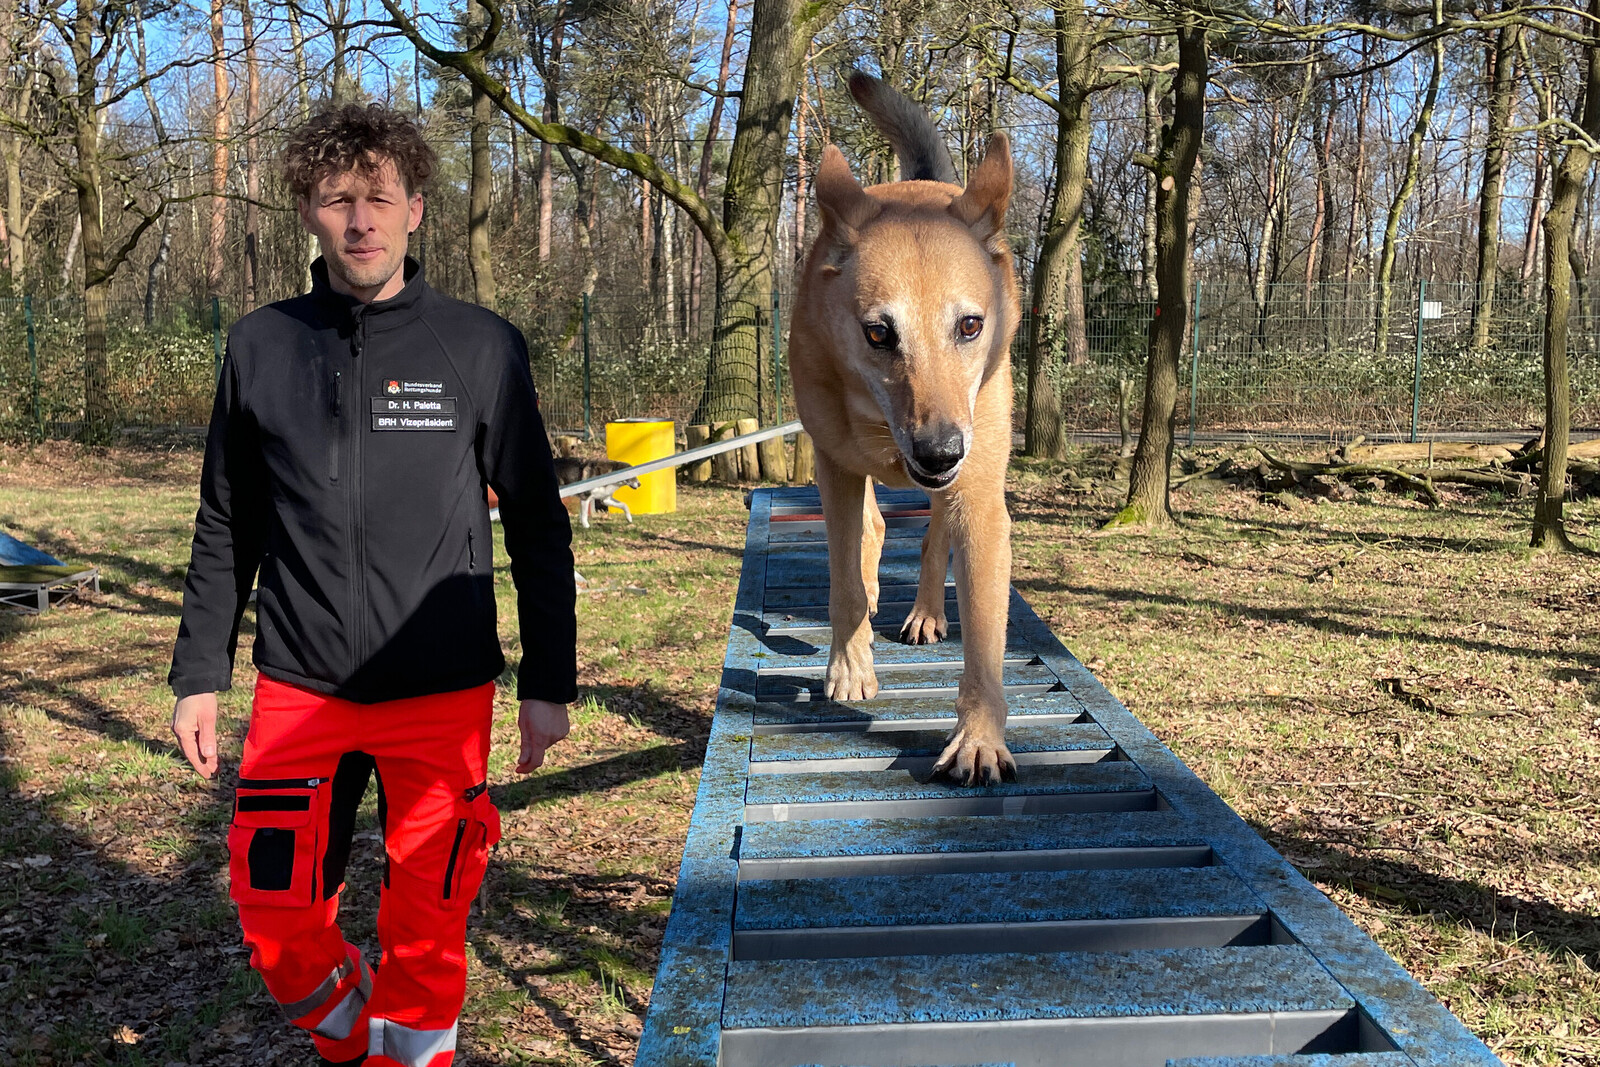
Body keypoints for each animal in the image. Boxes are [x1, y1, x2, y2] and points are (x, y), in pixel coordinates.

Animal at [790, 73, 1024, 783]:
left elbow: (984, 631)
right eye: (877, 333)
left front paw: (978, 736)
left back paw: (924, 612)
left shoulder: (978, 494)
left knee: (930, 536)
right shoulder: (835, 467)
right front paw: (849, 666)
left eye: (970, 325)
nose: (940, 449)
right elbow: (843, 577)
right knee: (869, 531)